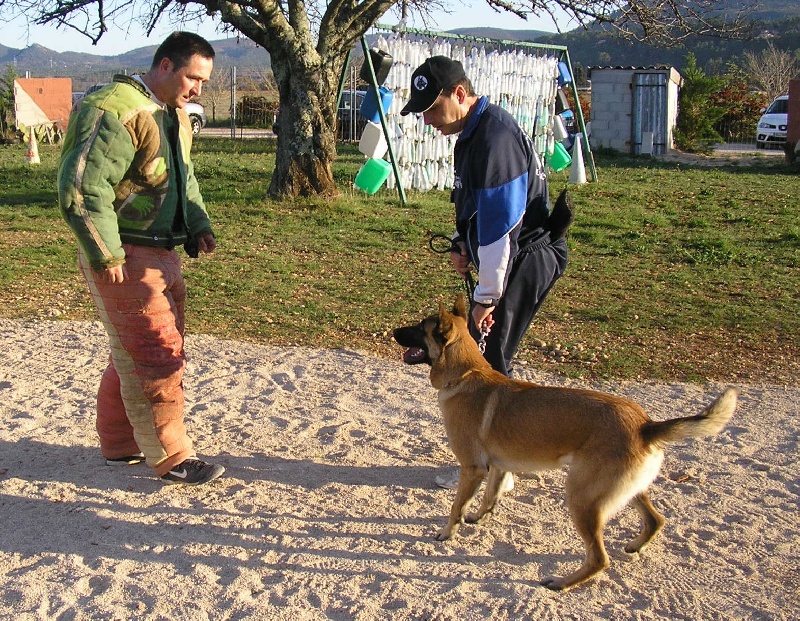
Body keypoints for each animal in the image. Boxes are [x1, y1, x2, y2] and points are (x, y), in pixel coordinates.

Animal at [394, 296, 736, 592]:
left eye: (419, 327)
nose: (394, 330)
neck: (466, 373)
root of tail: (644, 426)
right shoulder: (498, 467)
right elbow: (489, 497)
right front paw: (479, 517)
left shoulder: (473, 468)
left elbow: (456, 507)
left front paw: (447, 533)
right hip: (625, 491)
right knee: (655, 520)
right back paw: (634, 546)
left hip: (582, 499)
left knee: (599, 559)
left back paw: (562, 583)